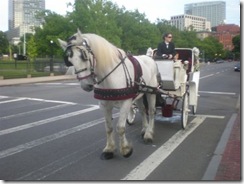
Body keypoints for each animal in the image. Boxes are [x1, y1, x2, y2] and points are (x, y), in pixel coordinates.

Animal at [58, 30, 158, 160]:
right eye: (69, 60)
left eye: (84, 56)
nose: (86, 85)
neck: (111, 74)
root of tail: (149, 57)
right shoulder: (105, 104)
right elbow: (109, 127)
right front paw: (109, 149)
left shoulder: (126, 103)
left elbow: (120, 127)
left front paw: (126, 150)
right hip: (140, 94)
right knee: (142, 110)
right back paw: (144, 129)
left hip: (151, 93)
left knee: (150, 111)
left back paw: (149, 134)